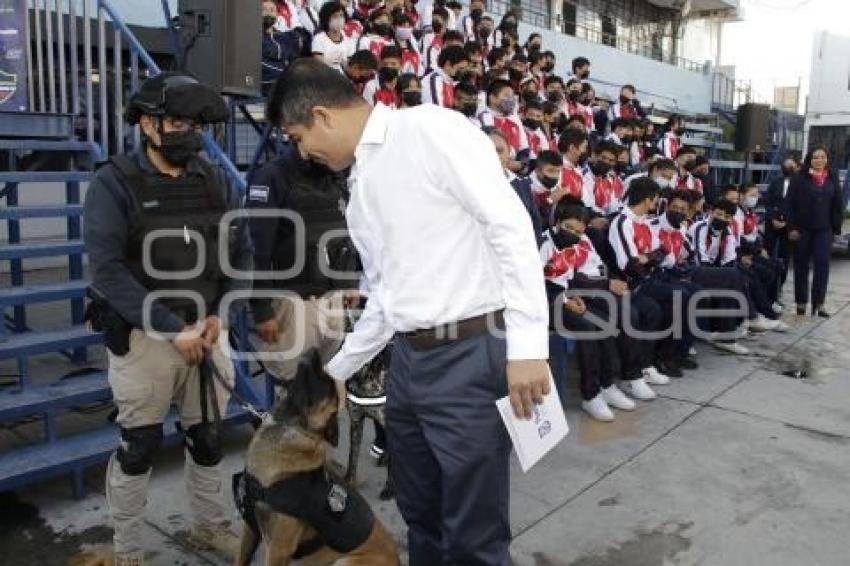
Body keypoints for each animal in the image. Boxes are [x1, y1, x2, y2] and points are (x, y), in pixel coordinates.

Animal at [234, 350, 400, 566]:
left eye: (327, 383)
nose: (313, 352)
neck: (289, 427)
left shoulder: (278, 548)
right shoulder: (250, 528)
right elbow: (239, 559)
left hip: (345, 561)